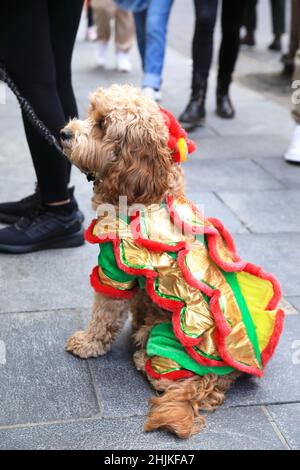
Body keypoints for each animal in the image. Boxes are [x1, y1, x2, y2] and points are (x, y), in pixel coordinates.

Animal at [60, 83, 284, 436]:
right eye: (91, 112)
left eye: (103, 124)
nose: (63, 133)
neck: (145, 189)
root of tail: (221, 377)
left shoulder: (115, 269)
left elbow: (104, 313)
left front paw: (88, 342)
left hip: (169, 346)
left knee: (167, 379)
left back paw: (142, 356)